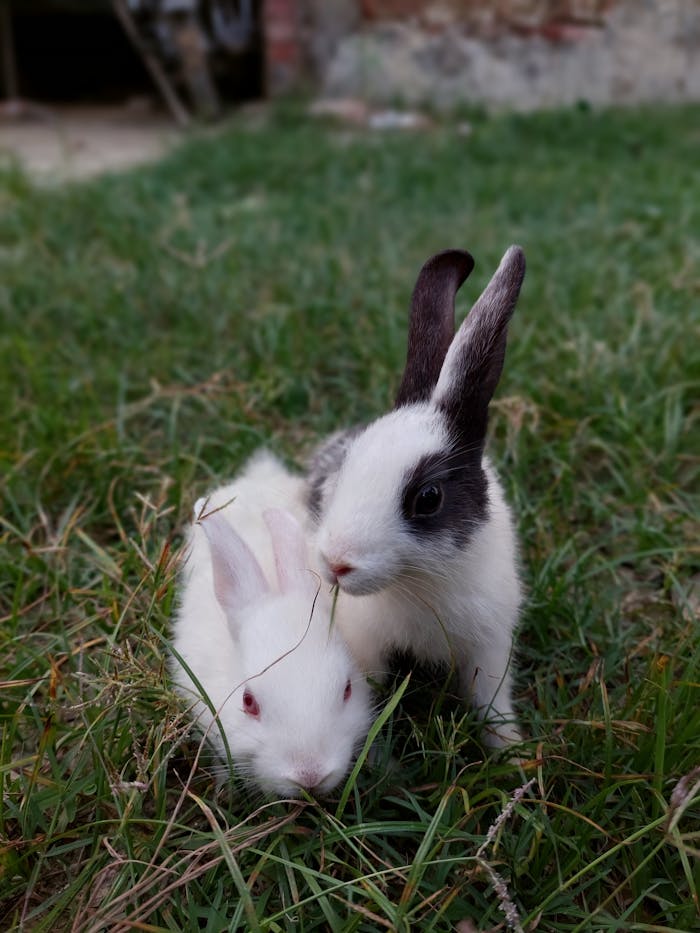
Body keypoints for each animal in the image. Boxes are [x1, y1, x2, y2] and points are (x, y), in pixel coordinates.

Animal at [305, 246, 526, 748]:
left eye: (428, 498)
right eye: (349, 461)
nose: (336, 564)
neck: (420, 581)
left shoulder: (490, 645)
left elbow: (491, 703)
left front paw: (514, 753)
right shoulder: (365, 642)